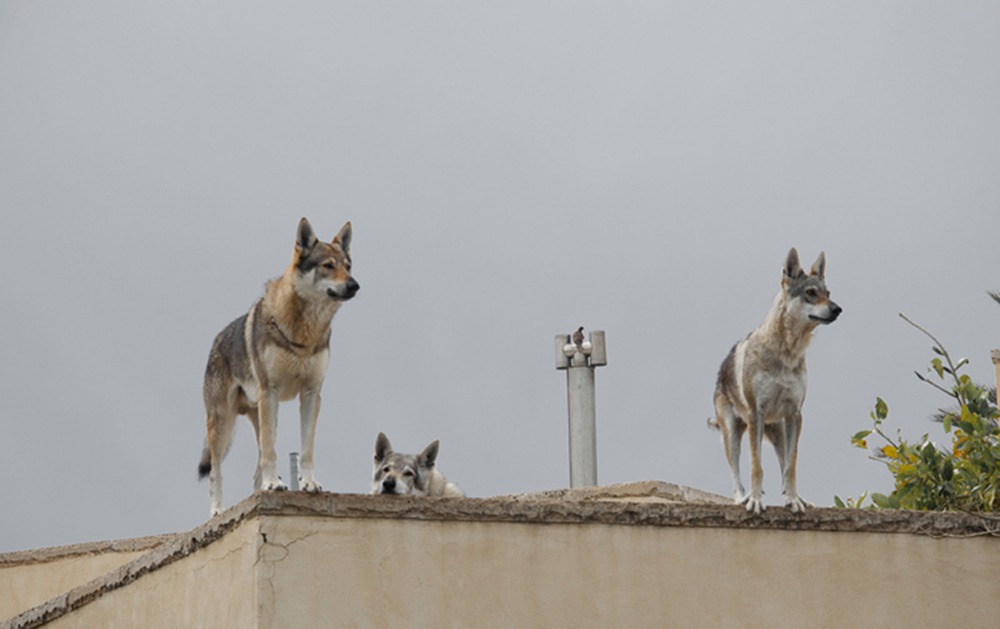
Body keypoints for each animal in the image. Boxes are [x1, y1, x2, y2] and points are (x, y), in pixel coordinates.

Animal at [199, 217, 360, 516]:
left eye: (348, 266)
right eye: (328, 265)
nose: (355, 285)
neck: (305, 331)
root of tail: (216, 340)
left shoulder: (311, 394)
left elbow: (307, 449)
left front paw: (308, 484)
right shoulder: (270, 391)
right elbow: (272, 451)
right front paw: (274, 485)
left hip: (259, 413)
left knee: (255, 468)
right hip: (224, 421)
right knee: (216, 472)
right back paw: (217, 511)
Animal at [712, 248, 844, 512]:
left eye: (828, 294)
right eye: (810, 293)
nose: (838, 309)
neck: (787, 354)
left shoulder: (795, 414)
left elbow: (791, 467)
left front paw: (793, 500)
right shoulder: (756, 413)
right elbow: (757, 466)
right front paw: (754, 500)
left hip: (779, 431)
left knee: (784, 464)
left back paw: (797, 498)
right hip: (732, 433)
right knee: (736, 473)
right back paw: (741, 498)